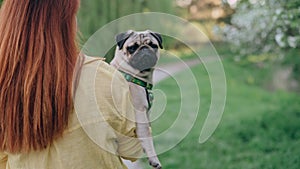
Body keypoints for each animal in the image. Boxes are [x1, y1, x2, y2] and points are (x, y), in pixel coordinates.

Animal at [110, 30, 162, 169]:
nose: (144, 49)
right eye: (132, 48)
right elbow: (147, 137)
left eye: (153, 45)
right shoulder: (140, 114)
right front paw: (154, 159)